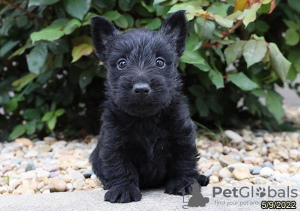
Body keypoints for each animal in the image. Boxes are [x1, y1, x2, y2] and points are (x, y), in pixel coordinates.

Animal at [89, 10, 209, 204]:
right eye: (122, 63)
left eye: (159, 62)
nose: (141, 89)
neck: (146, 119)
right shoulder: (114, 143)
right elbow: (121, 167)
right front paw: (123, 190)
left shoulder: (182, 134)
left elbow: (183, 160)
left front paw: (184, 183)